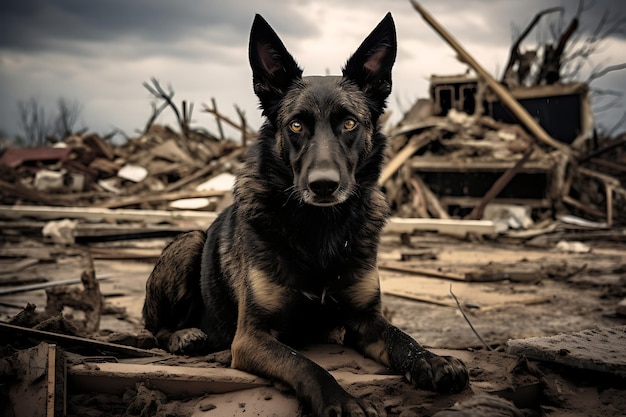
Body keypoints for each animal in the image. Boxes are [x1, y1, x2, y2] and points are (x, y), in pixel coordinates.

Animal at [144, 13, 466, 416]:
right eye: (296, 125)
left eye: (349, 123)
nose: (323, 185)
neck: (319, 229)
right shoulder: (250, 338)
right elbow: (304, 363)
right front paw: (341, 400)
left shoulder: (365, 321)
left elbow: (401, 337)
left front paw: (431, 360)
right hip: (189, 242)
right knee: (153, 328)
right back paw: (184, 335)